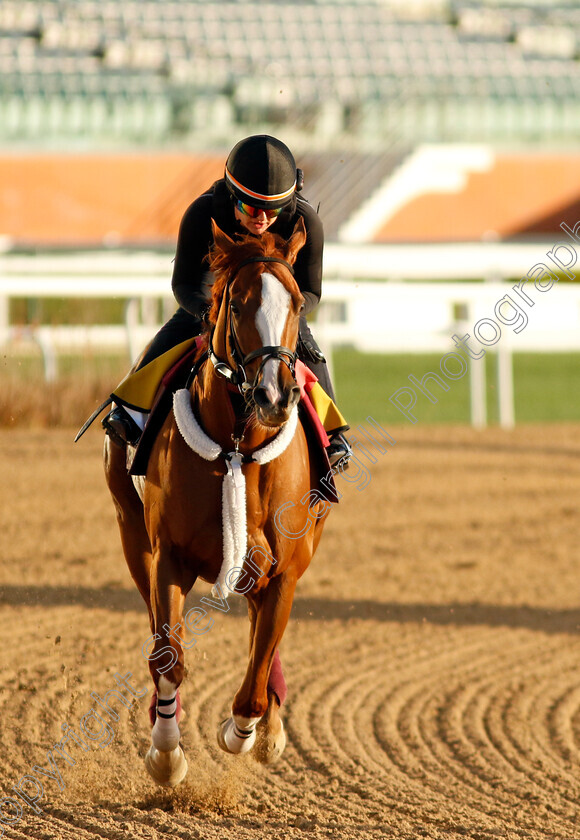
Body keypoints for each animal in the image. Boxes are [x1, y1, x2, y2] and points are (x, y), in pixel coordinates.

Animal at [104, 220, 330, 784]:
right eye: (238, 303)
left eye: (297, 302)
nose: (275, 395)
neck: (238, 449)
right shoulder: (167, 557)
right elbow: (168, 658)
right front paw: (166, 755)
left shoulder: (285, 569)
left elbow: (254, 680)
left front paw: (248, 732)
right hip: (131, 534)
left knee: (260, 641)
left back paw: (271, 726)